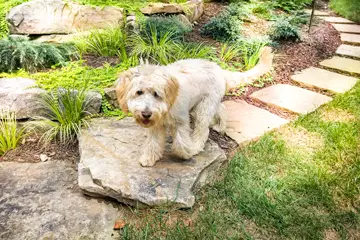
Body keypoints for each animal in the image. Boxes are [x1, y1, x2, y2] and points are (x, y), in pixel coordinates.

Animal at [117, 47, 272, 167]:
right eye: (139, 92)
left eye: (156, 94)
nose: (146, 114)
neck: (166, 105)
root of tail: (219, 69)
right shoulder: (156, 125)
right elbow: (153, 143)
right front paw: (149, 158)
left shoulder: (180, 121)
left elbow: (180, 144)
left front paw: (187, 153)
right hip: (207, 103)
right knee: (222, 108)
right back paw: (221, 126)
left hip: (204, 107)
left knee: (203, 130)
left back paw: (197, 145)